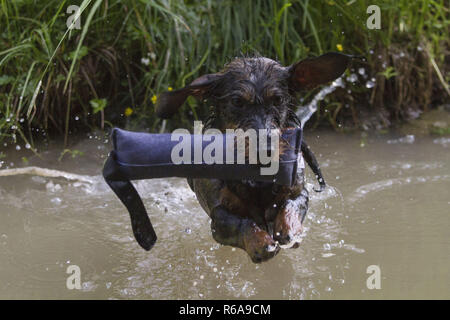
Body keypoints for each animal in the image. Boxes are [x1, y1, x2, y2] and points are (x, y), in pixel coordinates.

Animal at [156, 52, 354, 262]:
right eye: (237, 101)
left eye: (278, 100)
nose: (266, 149)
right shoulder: (218, 216)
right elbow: (243, 224)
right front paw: (262, 244)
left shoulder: (298, 192)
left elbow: (290, 205)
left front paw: (290, 232)